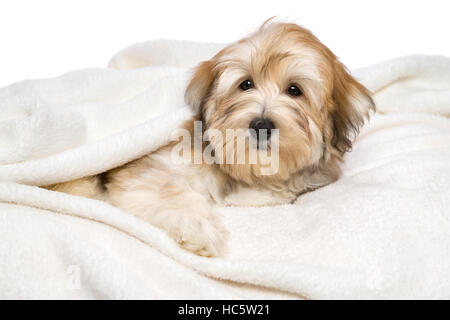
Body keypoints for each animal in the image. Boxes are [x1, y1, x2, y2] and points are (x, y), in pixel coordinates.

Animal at [47, 21, 374, 256]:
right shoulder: (153, 167)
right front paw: (197, 227)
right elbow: (169, 191)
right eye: (245, 84)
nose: (261, 124)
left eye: (295, 90)